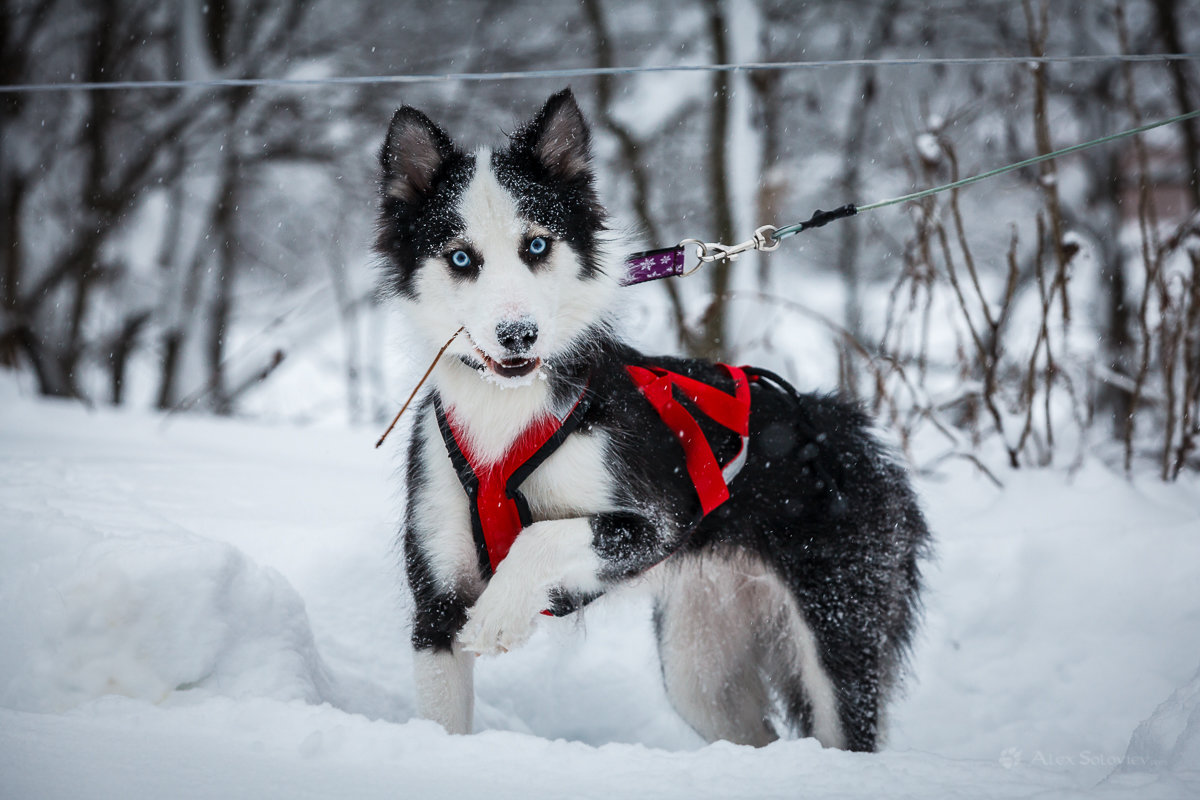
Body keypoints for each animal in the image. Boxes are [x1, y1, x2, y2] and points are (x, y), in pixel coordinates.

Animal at [374, 90, 926, 753]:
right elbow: (442, 713)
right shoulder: (435, 597)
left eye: (536, 246)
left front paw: (502, 612)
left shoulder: (660, 520)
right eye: (460, 257)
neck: (510, 410)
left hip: (837, 624)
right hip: (700, 663)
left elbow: (543, 535)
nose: (517, 334)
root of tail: (845, 425)